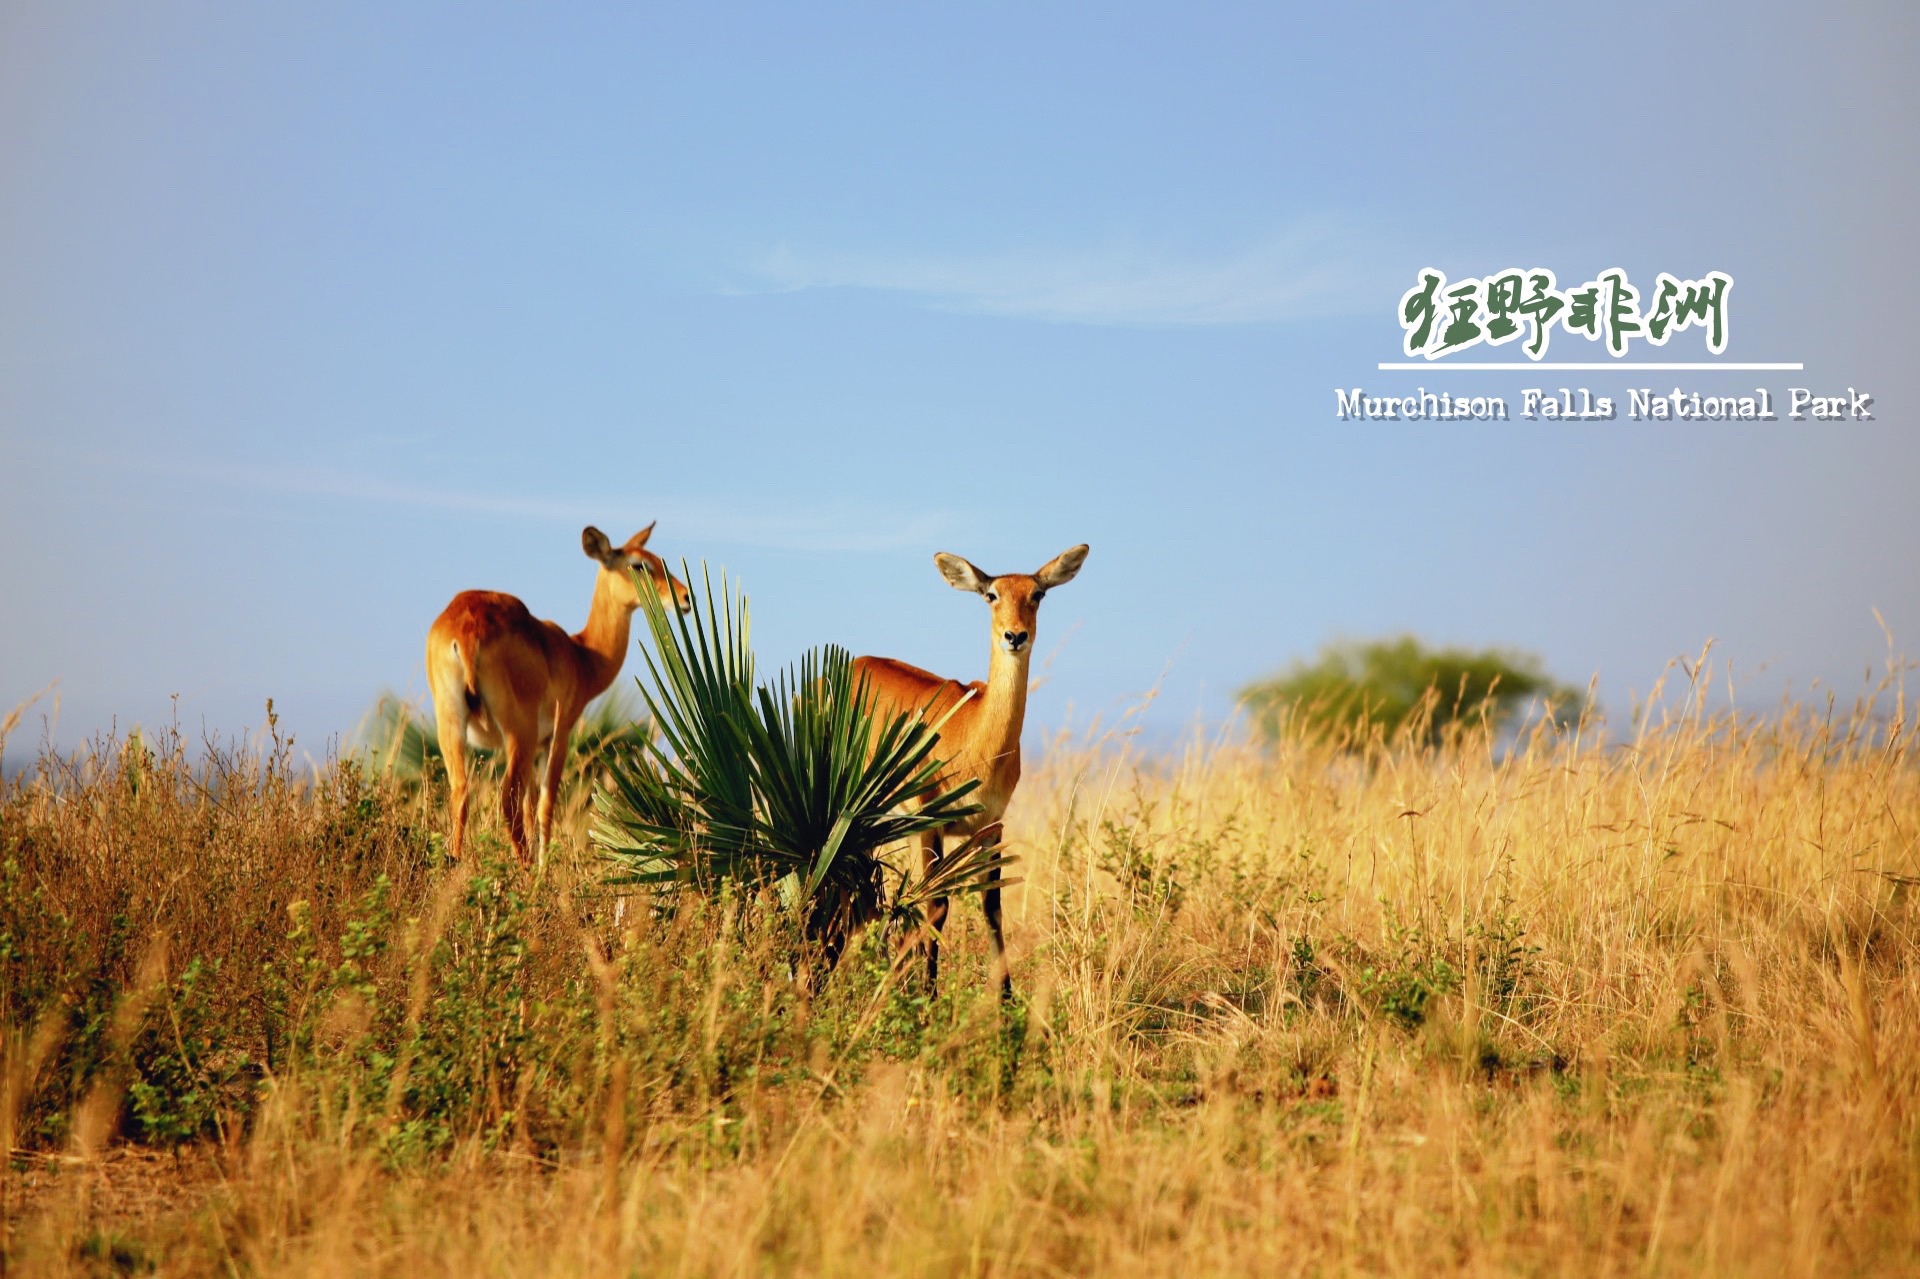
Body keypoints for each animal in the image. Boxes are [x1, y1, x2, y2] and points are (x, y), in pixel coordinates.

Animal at [426, 522, 691, 860]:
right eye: (639, 564)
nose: (684, 596)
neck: (583, 655)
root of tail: (467, 629)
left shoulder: (540, 745)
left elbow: (530, 806)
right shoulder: (560, 733)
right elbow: (545, 804)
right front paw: (544, 867)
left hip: (452, 724)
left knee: (461, 791)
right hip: (518, 733)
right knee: (508, 800)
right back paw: (527, 870)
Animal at [852, 541, 1090, 990]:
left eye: (1037, 593)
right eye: (991, 594)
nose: (1015, 636)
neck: (976, 740)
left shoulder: (991, 826)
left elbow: (992, 908)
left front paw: (1007, 998)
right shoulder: (929, 822)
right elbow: (936, 904)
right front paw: (928, 995)